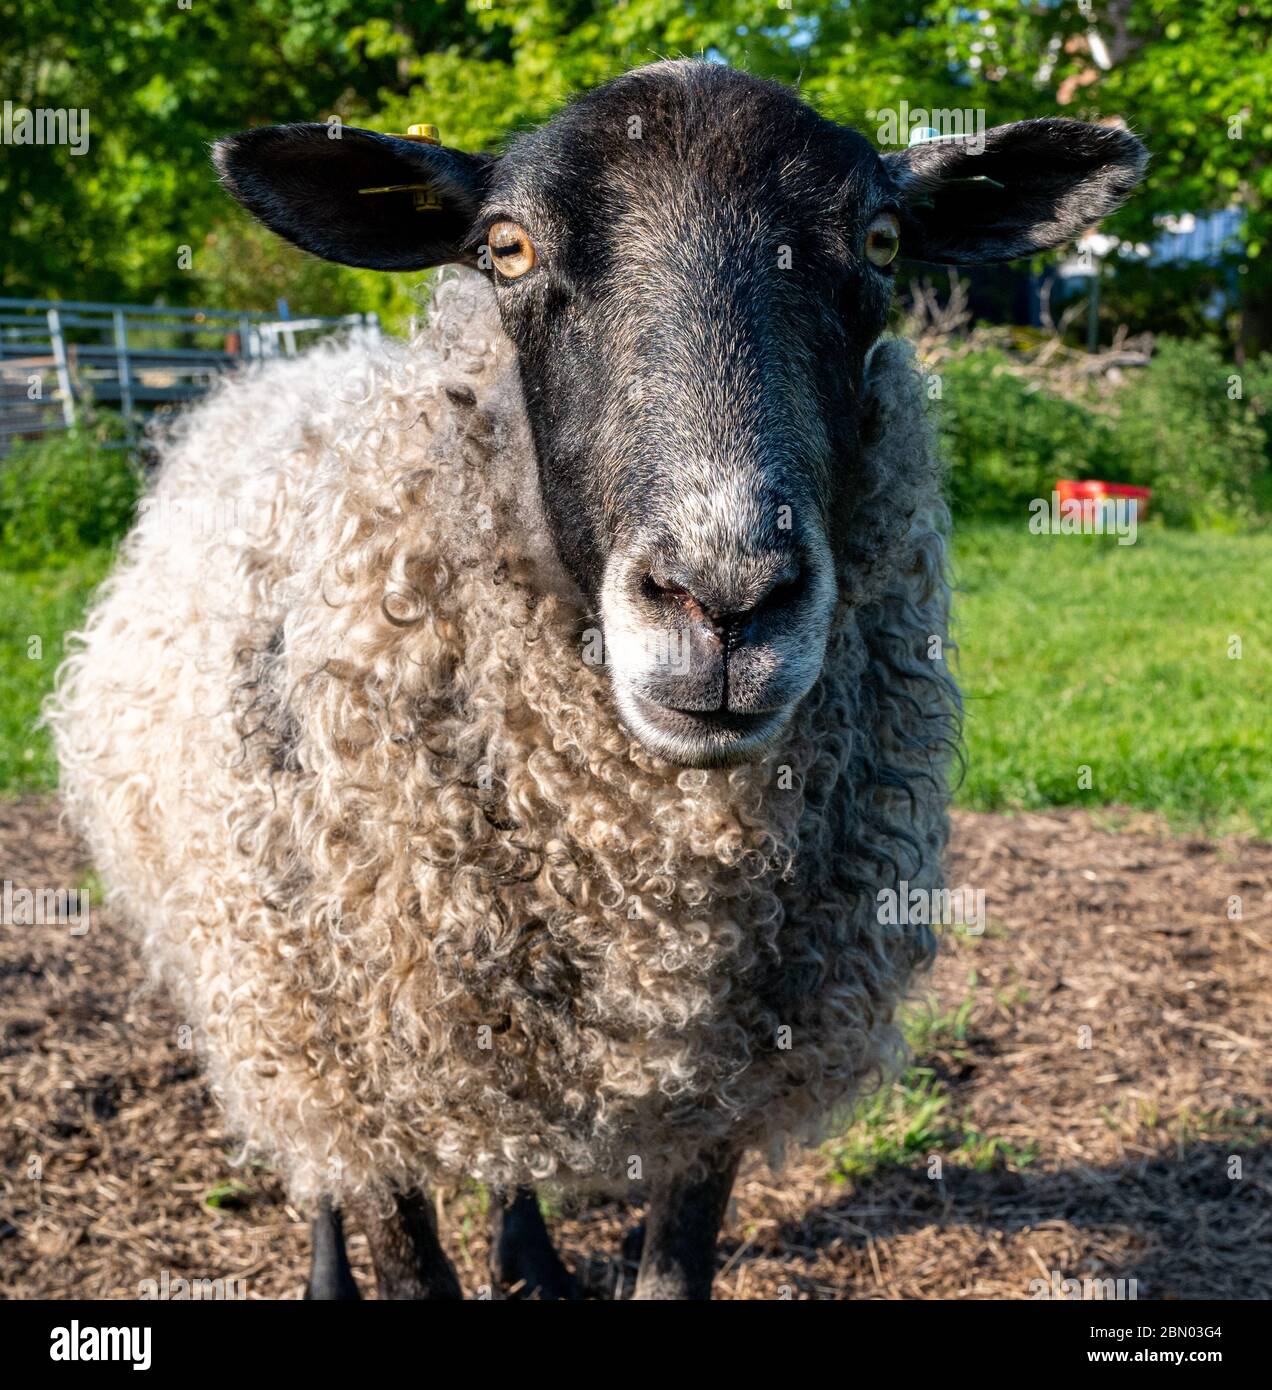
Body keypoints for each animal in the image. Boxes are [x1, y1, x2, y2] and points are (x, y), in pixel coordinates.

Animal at [49, 59, 1151, 1295]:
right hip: (270, 999)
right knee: (310, 1150)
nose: (724, 598)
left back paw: (529, 1252)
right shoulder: (349, 1052)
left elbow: (675, 1268)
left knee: (509, 1145)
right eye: (507, 247)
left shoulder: (721, 1089)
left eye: (879, 241)